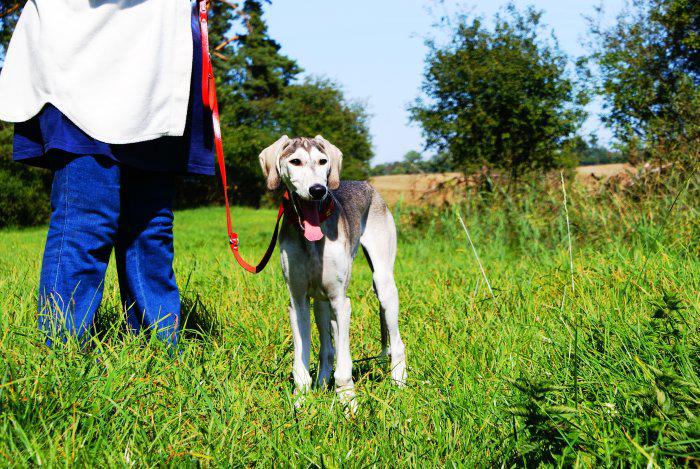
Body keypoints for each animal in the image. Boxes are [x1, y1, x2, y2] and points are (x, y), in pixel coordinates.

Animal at [260, 134, 408, 406]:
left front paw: (349, 403)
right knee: (328, 350)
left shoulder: (341, 300)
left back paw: (398, 382)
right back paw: (321, 384)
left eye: (322, 161)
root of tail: (368, 186)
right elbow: (303, 361)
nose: (318, 190)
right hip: (321, 301)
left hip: (383, 286)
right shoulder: (297, 302)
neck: (311, 240)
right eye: (295, 161)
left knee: (396, 342)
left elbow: (344, 364)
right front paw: (301, 402)